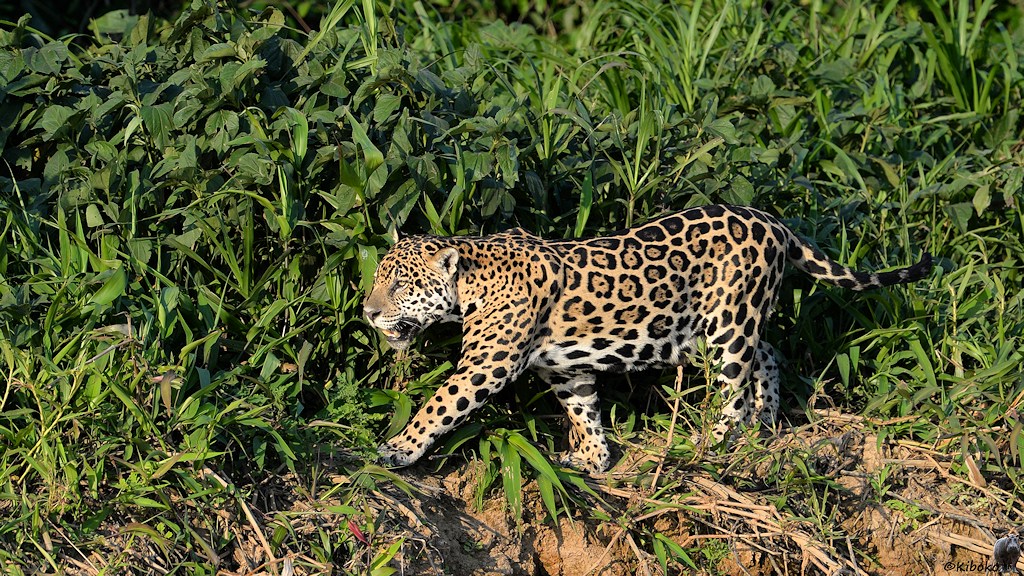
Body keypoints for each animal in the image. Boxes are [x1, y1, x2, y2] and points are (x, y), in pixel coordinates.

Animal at [363, 204, 932, 473]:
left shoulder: (486, 366)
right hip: (707, 327)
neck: (472, 281)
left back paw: (717, 442)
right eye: (376, 278)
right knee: (768, 353)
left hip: (729, 321)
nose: (368, 312)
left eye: (401, 286)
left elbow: (437, 406)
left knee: (735, 383)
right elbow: (582, 410)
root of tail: (772, 220)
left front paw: (396, 450)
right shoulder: (566, 368)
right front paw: (591, 458)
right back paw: (764, 422)